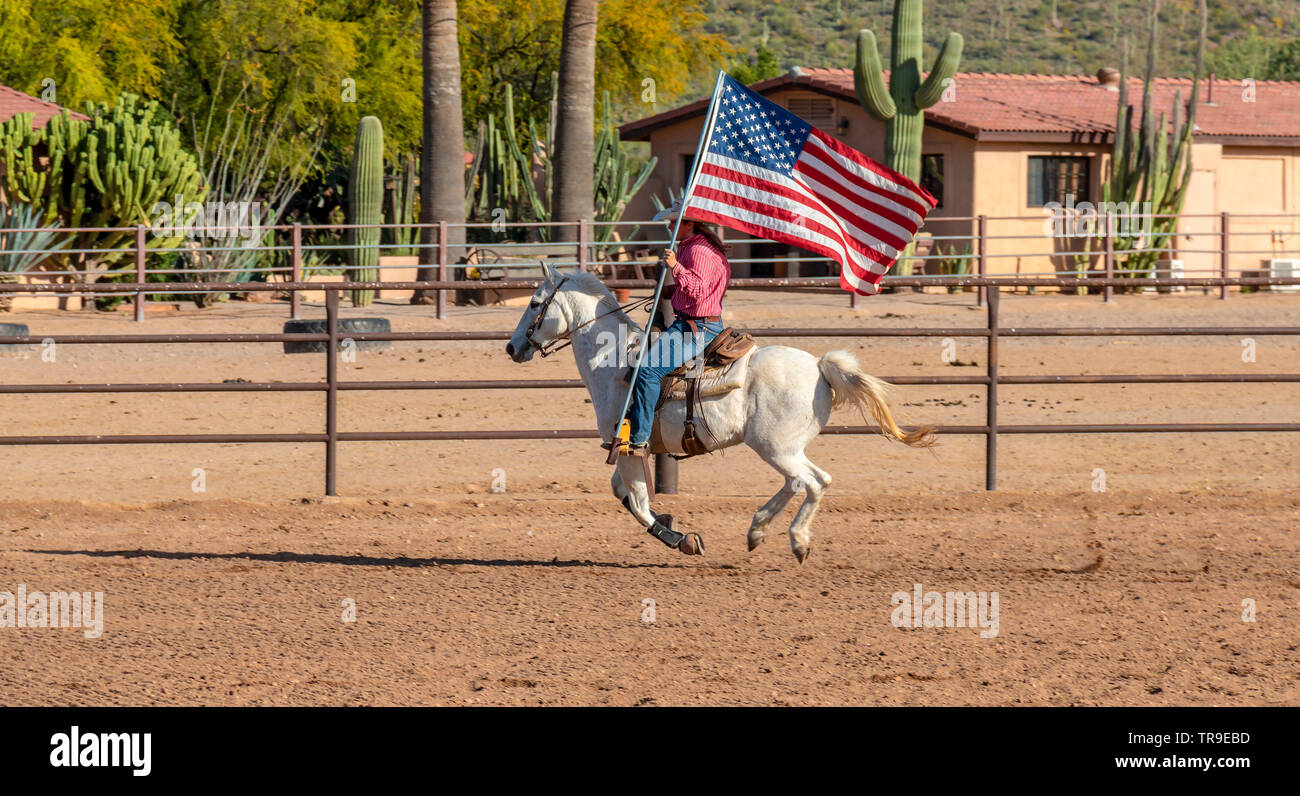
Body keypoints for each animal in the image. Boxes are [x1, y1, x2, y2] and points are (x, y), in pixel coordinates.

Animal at [505, 264, 935, 563]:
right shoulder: (629, 449)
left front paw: (681, 540)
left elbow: (639, 503)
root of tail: (819, 364)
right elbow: (623, 494)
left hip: (775, 447)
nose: (511, 347)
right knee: (797, 482)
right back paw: (757, 530)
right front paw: (670, 523)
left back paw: (797, 542)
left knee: (814, 482)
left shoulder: (627, 446)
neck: (614, 362)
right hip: (781, 447)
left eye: (534, 303)